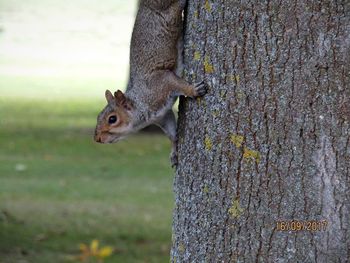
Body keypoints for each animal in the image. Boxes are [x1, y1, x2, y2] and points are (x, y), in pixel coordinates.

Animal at [94, 0, 206, 167]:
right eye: (98, 116)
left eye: (112, 119)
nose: (97, 139)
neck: (141, 101)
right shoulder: (162, 116)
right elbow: (172, 134)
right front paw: (174, 152)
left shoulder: (161, 81)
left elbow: (177, 83)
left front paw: (194, 90)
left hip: (167, 11)